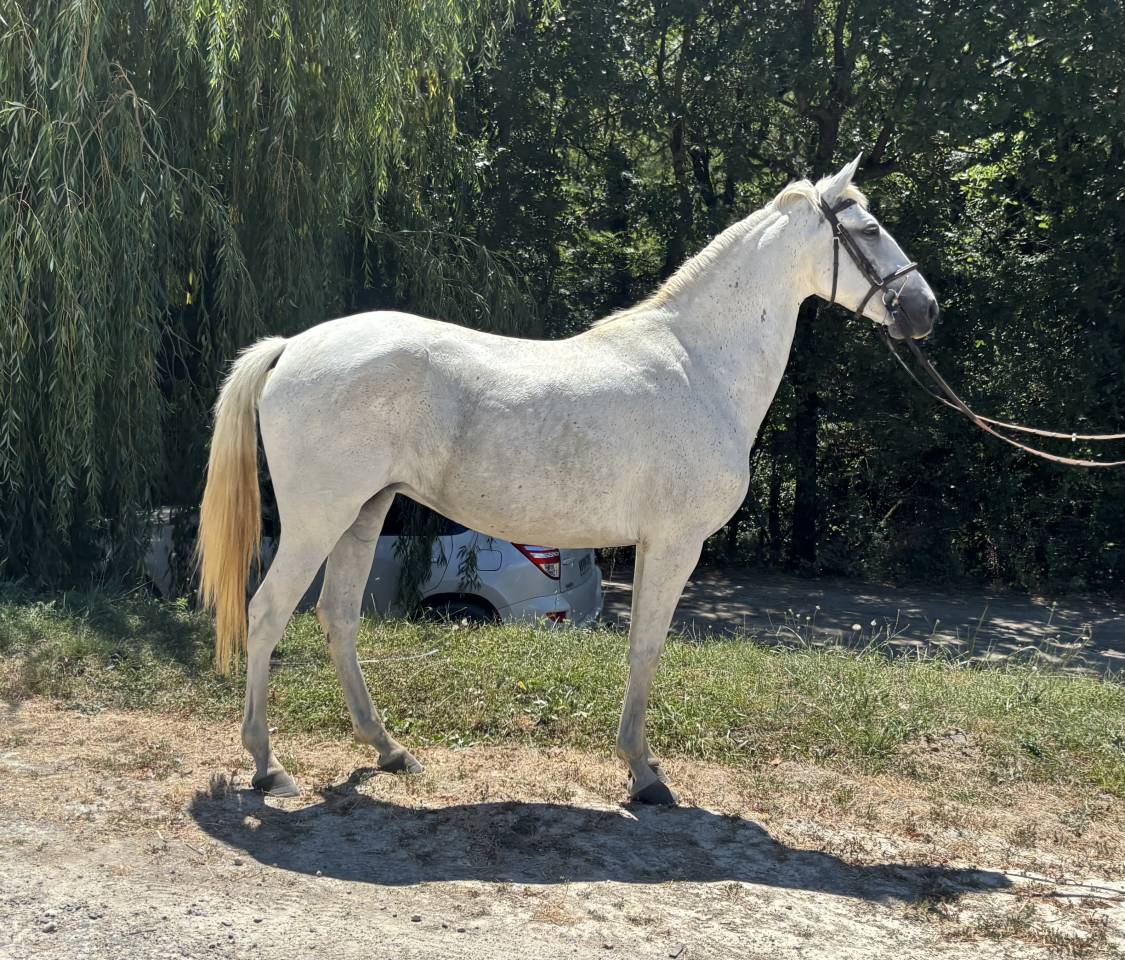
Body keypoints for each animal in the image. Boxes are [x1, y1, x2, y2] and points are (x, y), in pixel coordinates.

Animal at [197, 155, 938, 804]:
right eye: (868, 229)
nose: (924, 309)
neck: (698, 365)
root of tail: (293, 346)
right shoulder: (673, 544)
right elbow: (645, 648)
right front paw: (643, 773)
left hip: (364, 512)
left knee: (338, 616)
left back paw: (389, 751)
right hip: (318, 519)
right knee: (267, 613)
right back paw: (267, 765)